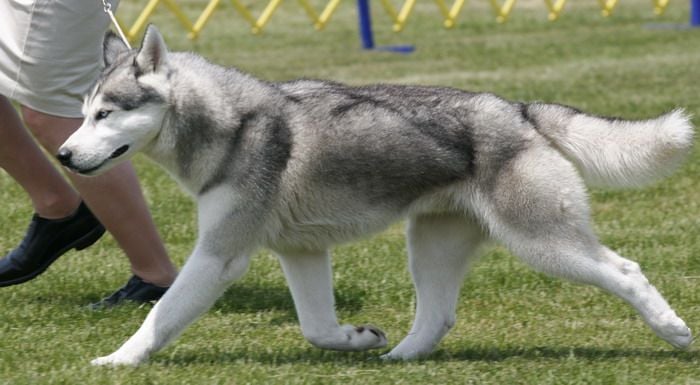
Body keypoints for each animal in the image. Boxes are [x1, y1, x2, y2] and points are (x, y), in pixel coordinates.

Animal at [60, 25, 696, 364]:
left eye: (105, 114)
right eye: (82, 113)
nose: (64, 156)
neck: (230, 124)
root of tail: (517, 109)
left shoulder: (220, 256)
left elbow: (162, 314)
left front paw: (120, 359)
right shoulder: (301, 253)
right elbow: (316, 327)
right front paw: (356, 338)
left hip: (543, 242)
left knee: (626, 270)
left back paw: (672, 330)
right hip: (431, 247)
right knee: (437, 314)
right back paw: (398, 358)